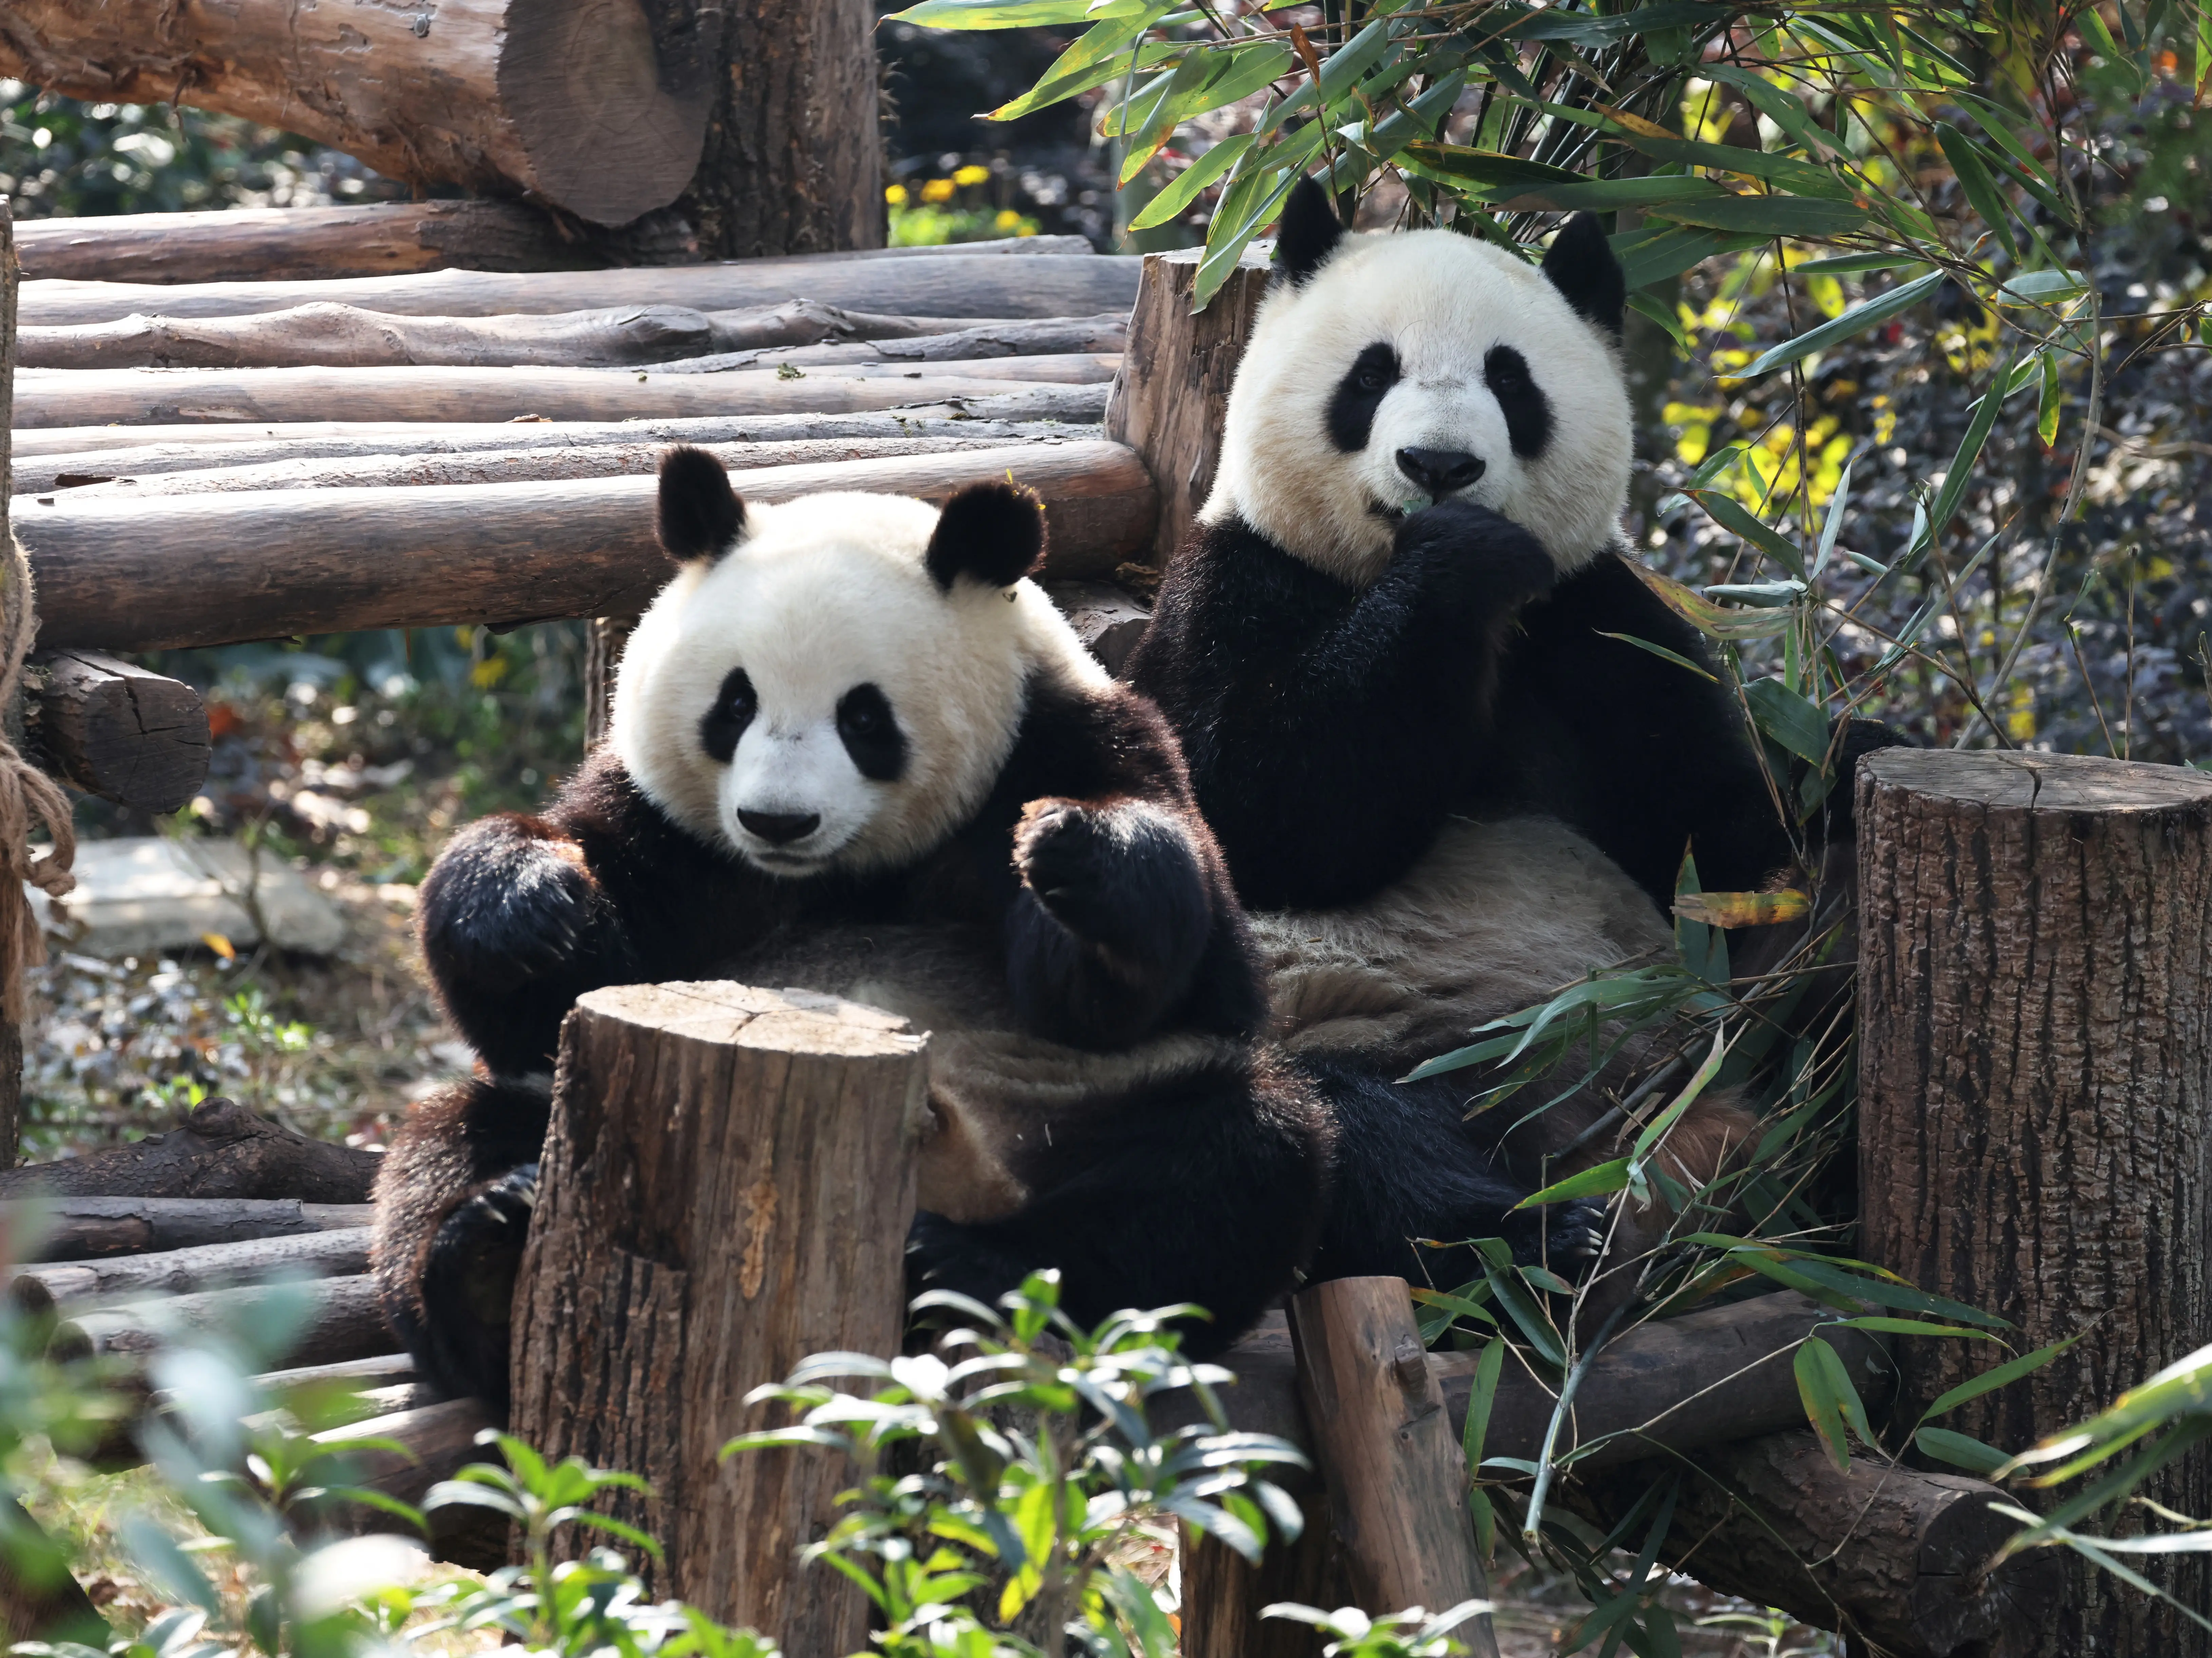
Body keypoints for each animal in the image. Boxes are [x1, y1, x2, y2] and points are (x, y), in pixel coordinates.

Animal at [379, 448, 1423, 1417]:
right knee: (451, 1138)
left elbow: (1173, 985)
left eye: (864, 717)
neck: (846, 872)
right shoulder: (668, 836)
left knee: (1237, 1167)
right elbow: (554, 992)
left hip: (1076, 1122)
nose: (777, 821)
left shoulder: (1072, 740)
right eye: (734, 703)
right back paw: (487, 1258)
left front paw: (1081, 857)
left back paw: (977, 1270)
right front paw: (524, 899)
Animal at [1125, 180, 1889, 1298]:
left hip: (1713, 1016)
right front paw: (1460, 557)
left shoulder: (1600, 626)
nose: (1439, 466)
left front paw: (1853, 750)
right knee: (1337, 1133)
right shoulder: (1228, 587)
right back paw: (1536, 1238)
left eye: (1510, 379)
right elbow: (1262, 811)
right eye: (1371, 375)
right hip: (1354, 1028)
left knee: (1834, 977)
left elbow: (1725, 833)